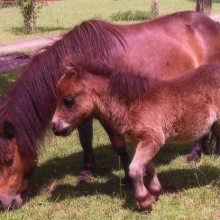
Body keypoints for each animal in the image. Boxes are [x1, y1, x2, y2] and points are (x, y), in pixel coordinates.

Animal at [52, 61, 220, 211]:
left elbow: (134, 169)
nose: (54, 127)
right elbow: (148, 167)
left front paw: (144, 202)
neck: (134, 103)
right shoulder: (140, 141)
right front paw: (155, 193)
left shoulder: (153, 139)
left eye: (68, 100)